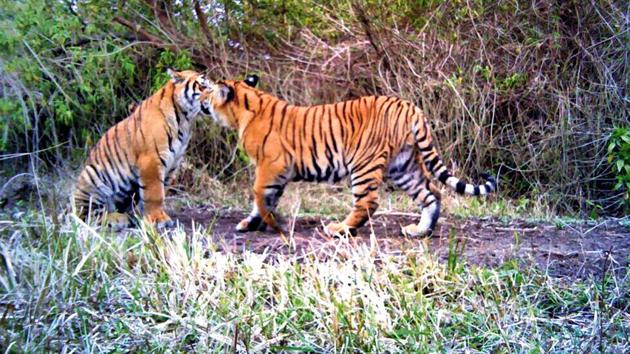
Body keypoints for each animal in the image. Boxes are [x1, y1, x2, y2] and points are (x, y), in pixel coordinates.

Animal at [74, 69, 212, 230]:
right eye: (202, 86)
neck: (185, 120)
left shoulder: (173, 163)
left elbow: (159, 190)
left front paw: (146, 217)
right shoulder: (151, 160)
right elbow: (155, 193)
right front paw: (158, 219)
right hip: (91, 174)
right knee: (87, 215)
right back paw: (117, 219)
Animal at [205, 74, 496, 236]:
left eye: (208, 93)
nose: (202, 100)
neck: (246, 104)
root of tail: (410, 106)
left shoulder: (270, 165)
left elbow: (259, 194)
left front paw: (266, 223)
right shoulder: (278, 172)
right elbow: (267, 198)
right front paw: (254, 223)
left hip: (364, 163)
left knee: (368, 202)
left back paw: (339, 229)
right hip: (403, 166)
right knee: (431, 193)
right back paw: (420, 231)